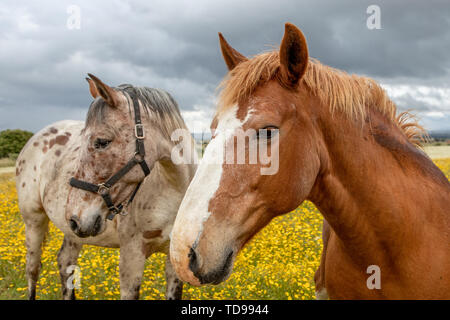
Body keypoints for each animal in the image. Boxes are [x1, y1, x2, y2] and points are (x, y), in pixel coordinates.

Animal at [16, 75, 196, 300]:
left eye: (102, 142)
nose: (75, 218)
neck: (172, 191)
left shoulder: (176, 261)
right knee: (32, 270)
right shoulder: (131, 258)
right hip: (34, 222)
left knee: (66, 263)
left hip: (73, 233)